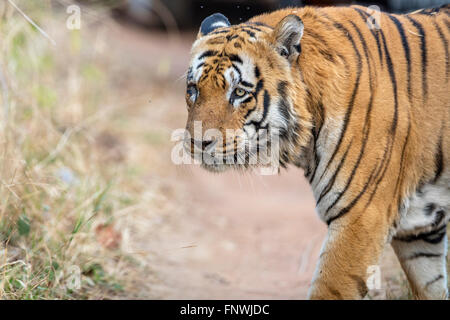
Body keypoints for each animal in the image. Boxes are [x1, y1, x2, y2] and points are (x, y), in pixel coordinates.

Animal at [183, 3, 450, 298]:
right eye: (193, 89)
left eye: (239, 92)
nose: (198, 142)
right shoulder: (419, 231)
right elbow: (431, 286)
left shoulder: (362, 216)